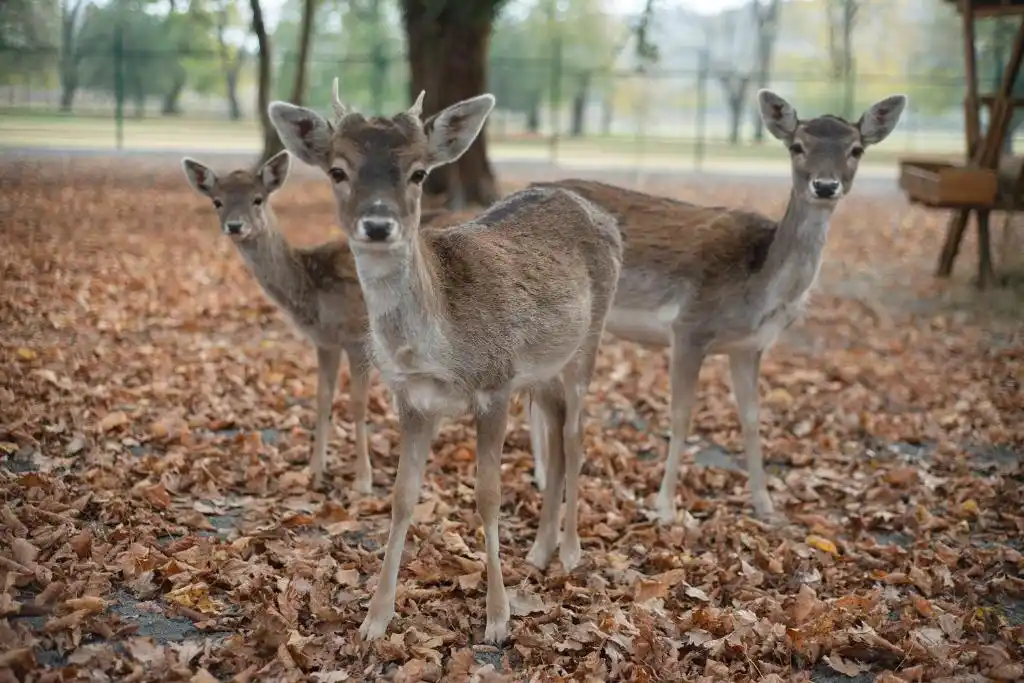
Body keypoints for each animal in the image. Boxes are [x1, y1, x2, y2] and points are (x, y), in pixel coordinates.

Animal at [180, 150, 376, 497]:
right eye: (217, 201)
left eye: (258, 199)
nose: (235, 225)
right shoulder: (324, 341)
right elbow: (322, 398)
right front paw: (314, 473)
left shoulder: (358, 336)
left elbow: (357, 402)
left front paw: (363, 482)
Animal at [268, 78, 622, 643]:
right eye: (337, 170)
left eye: (418, 173)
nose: (377, 224)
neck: (437, 348)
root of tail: (602, 215)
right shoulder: (412, 399)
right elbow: (401, 497)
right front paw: (375, 618)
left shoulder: (496, 383)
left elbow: (488, 494)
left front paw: (498, 618)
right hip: (542, 370)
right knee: (557, 431)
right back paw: (540, 549)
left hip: (588, 342)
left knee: (574, 436)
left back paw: (569, 551)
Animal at [520, 89, 905, 524]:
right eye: (797, 146)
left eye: (856, 149)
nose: (825, 185)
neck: (759, 291)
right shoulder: (689, 327)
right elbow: (681, 417)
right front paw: (665, 508)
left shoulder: (749, 347)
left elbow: (752, 418)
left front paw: (766, 506)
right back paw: (541, 477)